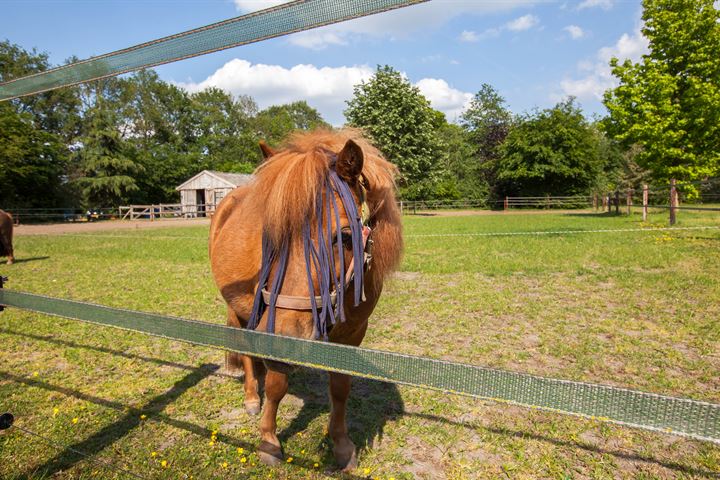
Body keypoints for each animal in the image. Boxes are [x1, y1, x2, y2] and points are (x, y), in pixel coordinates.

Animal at [208, 129, 402, 470]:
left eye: (345, 236)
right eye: (269, 233)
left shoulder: (353, 334)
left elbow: (340, 388)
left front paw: (342, 446)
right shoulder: (274, 326)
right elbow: (276, 385)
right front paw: (269, 441)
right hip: (239, 311)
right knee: (245, 352)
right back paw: (251, 398)